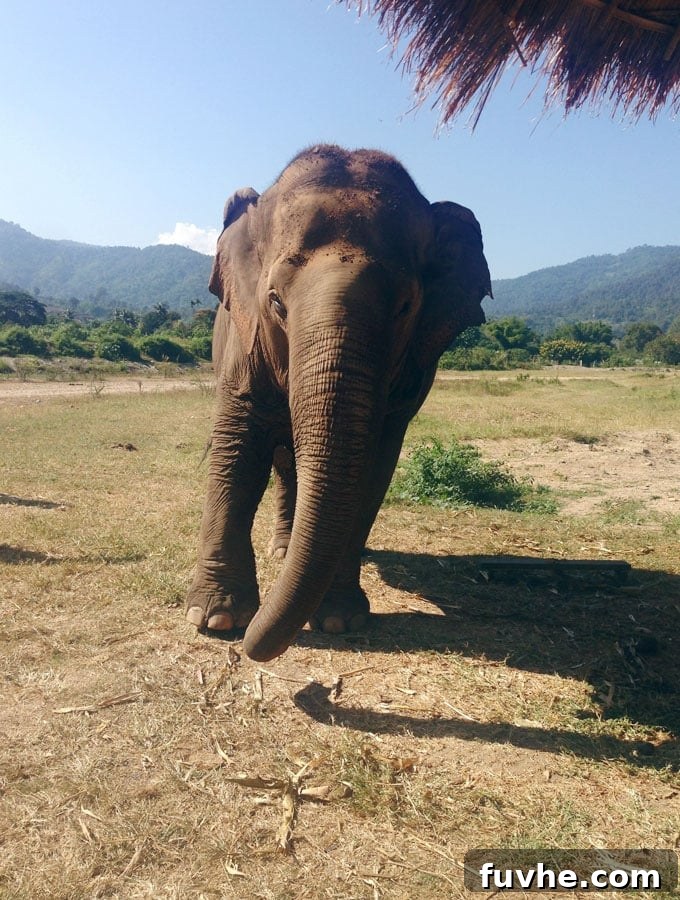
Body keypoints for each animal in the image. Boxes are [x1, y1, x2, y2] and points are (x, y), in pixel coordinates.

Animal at [185, 144, 492, 662]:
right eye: (275, 301)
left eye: (406, 307)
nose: (248, 649)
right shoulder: (243, 339)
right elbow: (238, 451)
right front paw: (215, 620)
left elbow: (372, 468)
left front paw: (339, 620)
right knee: (283, 461)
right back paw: (282, 551)